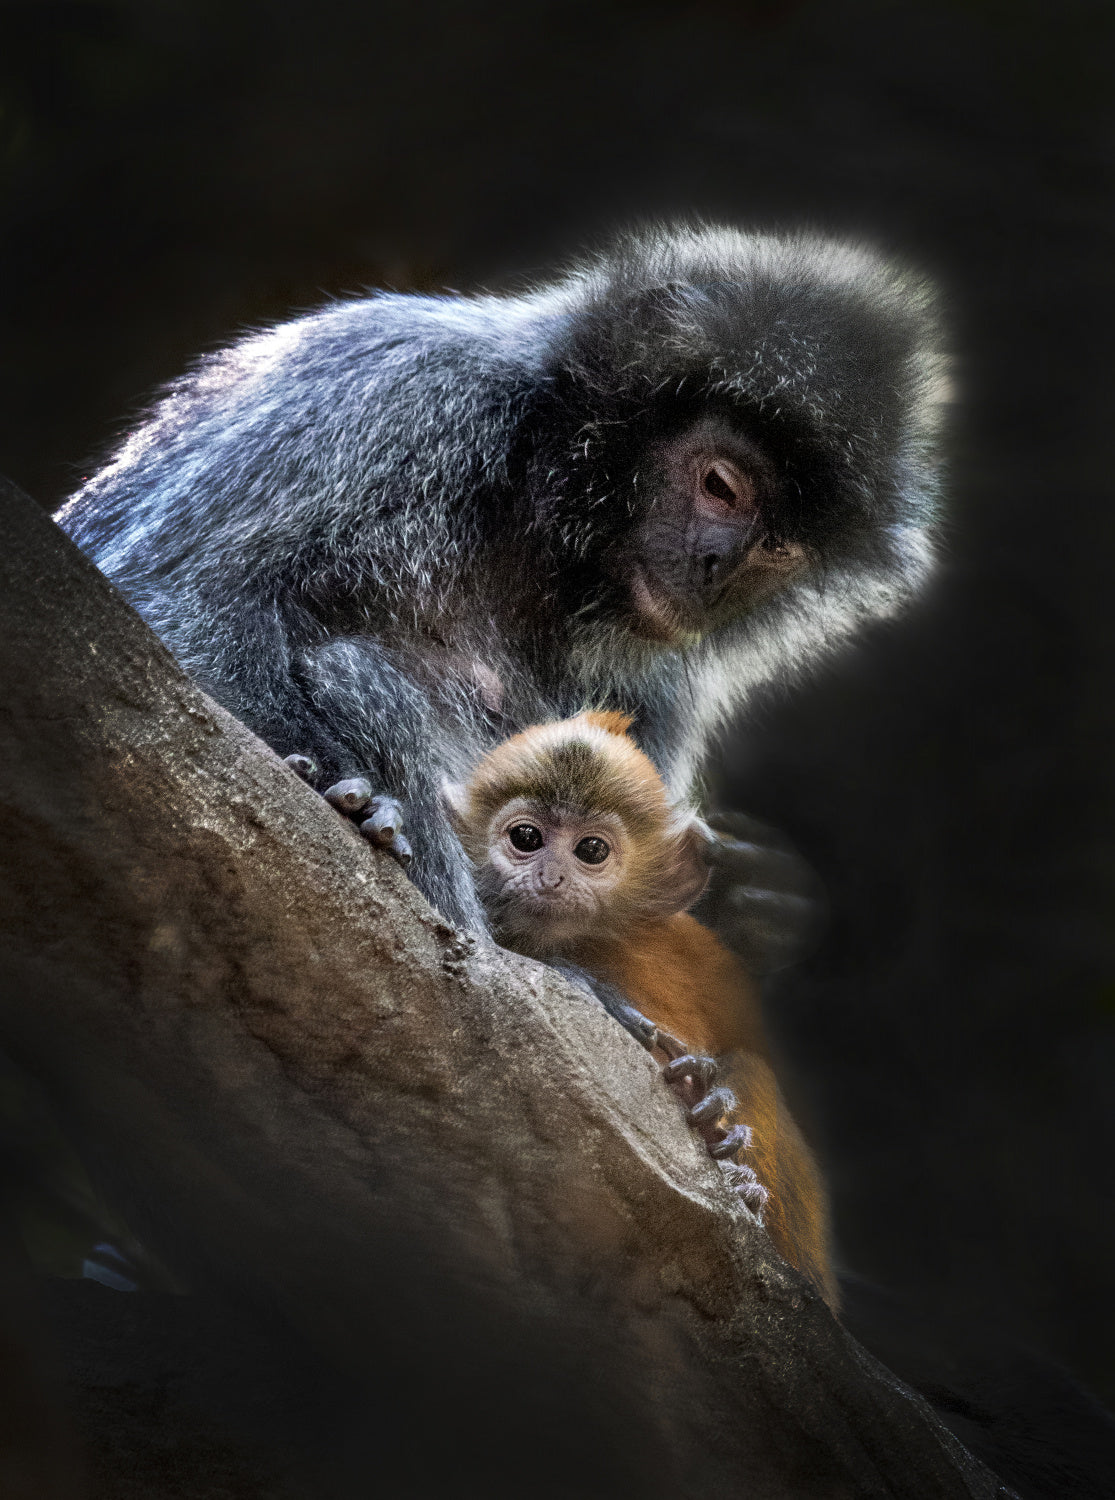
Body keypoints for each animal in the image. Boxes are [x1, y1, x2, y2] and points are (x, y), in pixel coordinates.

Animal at [55, 224, 943, 973]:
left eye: (777, 549)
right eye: (721, 485)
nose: (716, 567)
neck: (534, 517)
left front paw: (752, 908)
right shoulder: (399, 387)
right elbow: (174, 597)